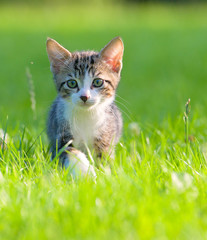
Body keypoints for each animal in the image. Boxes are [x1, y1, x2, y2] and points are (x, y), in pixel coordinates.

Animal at [46, 36, 123, 177]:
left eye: (98, 82)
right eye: (71, 83)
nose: (84, 97)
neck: (86, 116)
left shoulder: (106, 135)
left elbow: (104, 159)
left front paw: (105, 175)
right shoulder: (60, 136)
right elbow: (70, 152)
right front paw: (85, 172)